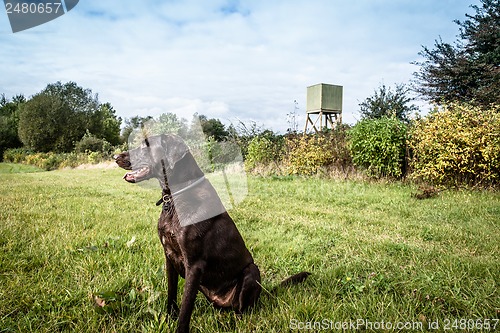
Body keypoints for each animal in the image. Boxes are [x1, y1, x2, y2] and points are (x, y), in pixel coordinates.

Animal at [115, 134, 310, 330]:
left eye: (146, 145)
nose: (115, 156)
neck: (175, 196)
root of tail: (264, 292)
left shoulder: (194, 265)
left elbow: (186, 307)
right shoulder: (168, 256)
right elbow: (172, 293)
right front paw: (169, 318)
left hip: (251, 271)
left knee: (243, 310)